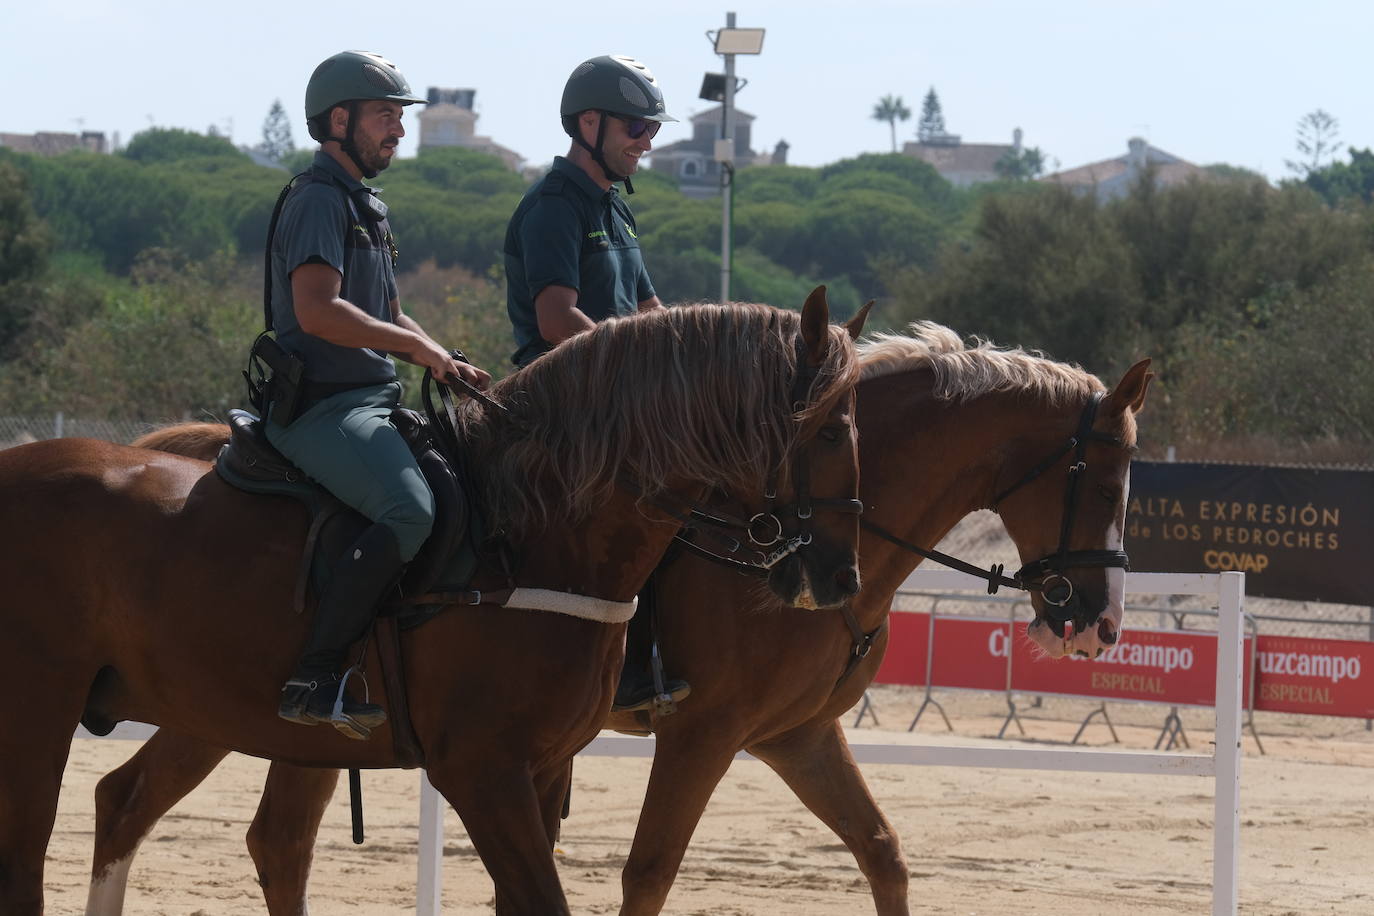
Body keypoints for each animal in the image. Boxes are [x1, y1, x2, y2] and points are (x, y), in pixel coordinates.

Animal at [0, 295, 868, 916]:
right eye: (831, 430)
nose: (839, 576)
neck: (534, 529)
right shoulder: (484, 770)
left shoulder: (542, 769)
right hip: (43, 714)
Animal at [77, 324, 1148, 916]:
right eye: (1106, 478)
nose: (1096, 621)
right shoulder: (704, 734)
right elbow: (648, 874)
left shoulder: (797, 736)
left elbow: (883, 855)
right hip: (220, 709)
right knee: (143, 807)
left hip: (288, 724)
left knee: (259, 839)